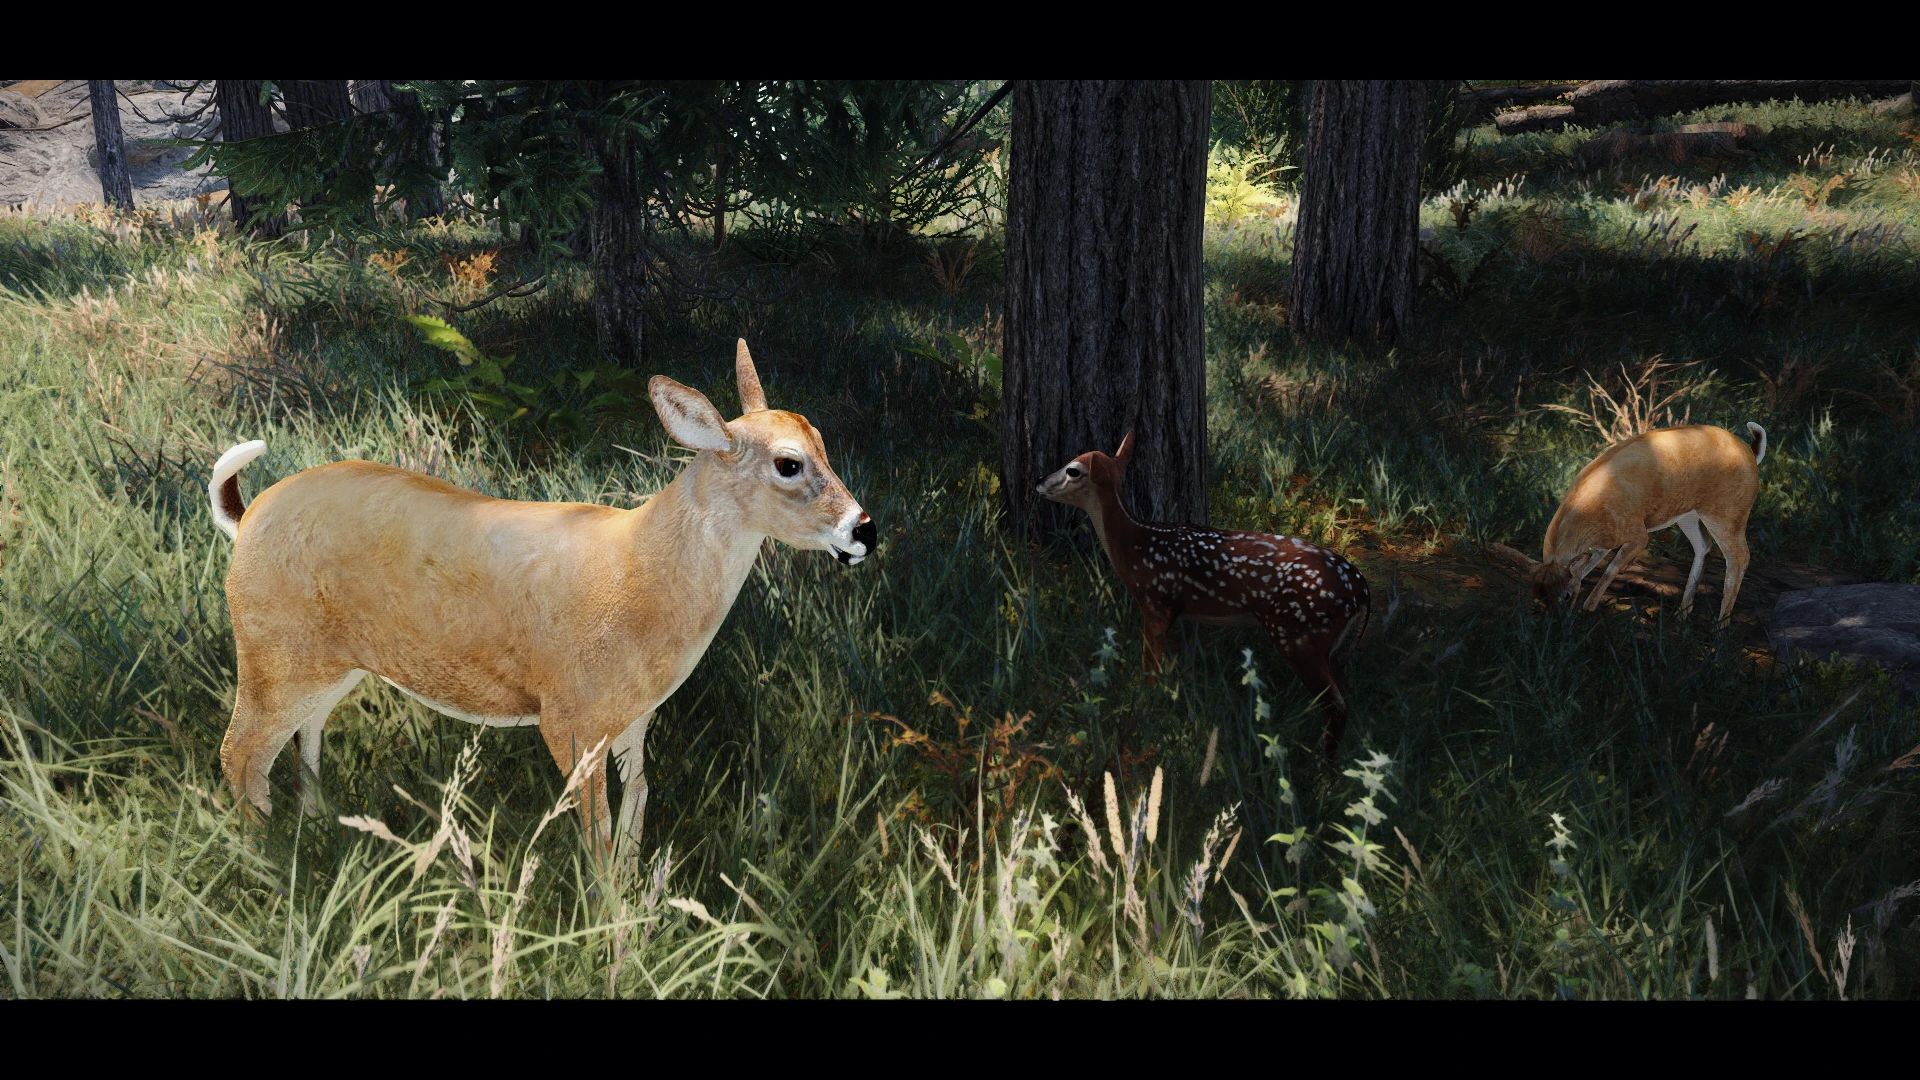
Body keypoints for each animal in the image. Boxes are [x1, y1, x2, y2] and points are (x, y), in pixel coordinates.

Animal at [206, 339, 876, 862]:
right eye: (788, 464)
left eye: (823, 440)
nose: (864, 530)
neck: (639, 575)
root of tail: (245, 518)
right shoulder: (568, 715)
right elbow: (596, 832)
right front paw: (606, 925)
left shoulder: (634, 717)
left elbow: (637, 808)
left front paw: (633, 906)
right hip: (271, 651)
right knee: (239, 753)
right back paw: (268, 863)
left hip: (327, 665)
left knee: (302, 740)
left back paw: (319, 832)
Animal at [1037, 432, 1371, 761]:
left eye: (1073, 470)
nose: (1040, 482)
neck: (1136, 545)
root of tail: (1361, 589)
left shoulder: (1156, 602)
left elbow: (1150, 670)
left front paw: (1143, 710)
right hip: (1323, 641)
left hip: (1300, 634)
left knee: (1336, 704)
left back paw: (1321, 764)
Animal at [1530, 422, 1765, 624]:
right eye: (1538, 594)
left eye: (1566, 595)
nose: (1554, 623)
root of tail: (1751, 452)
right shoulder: (1603, 545)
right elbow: (1586, 568)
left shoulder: (1637, 534)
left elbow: (1610, 569)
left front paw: (1587, 608)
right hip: (1688, 515)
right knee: (1703, 546)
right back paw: (1682, 613)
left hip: (1727, 513)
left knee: (1740, 557)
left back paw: (1720, 626)